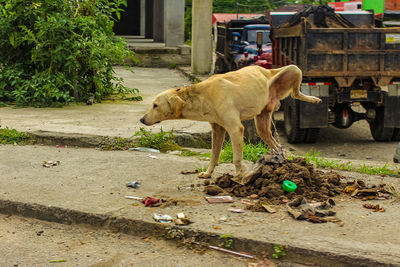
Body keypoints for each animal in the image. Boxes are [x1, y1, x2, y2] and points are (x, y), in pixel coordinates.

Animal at [141, 65, 322, 178]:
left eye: (155, 105)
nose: (141, 120)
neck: (203, 95)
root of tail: (265, 70)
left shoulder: (235, 129)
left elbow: (236, 158)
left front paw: (240, 175)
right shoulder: (218, 130)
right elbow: (214, 155)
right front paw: (208, 173)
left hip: (294, 69)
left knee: (296, 93)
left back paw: (314, 99)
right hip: (262, 124)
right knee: (276, 144)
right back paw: (281, 160)